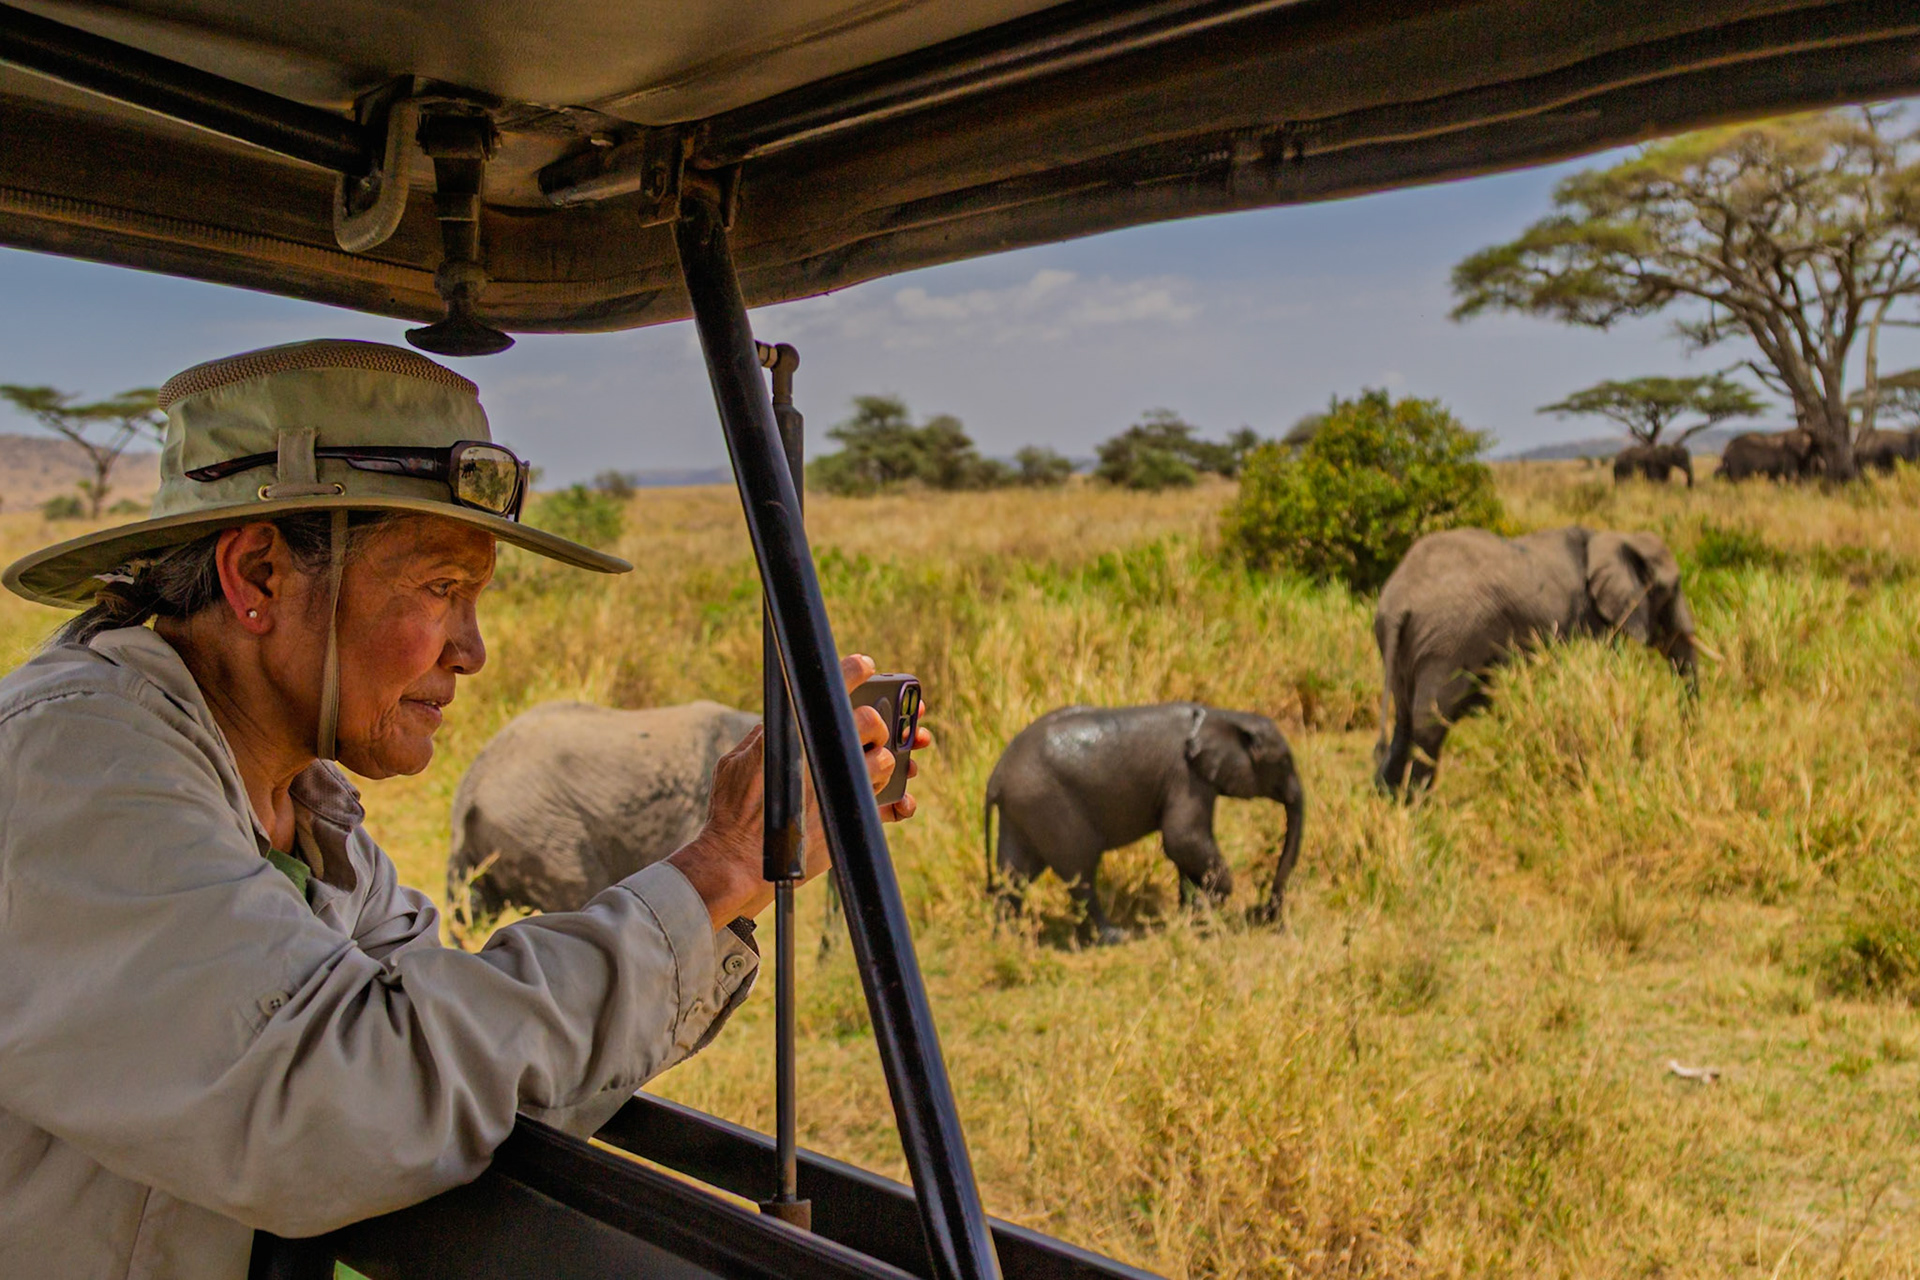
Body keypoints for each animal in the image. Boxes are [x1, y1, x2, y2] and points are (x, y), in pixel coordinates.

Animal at [984, 703, 1305, 942]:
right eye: (1284, 762)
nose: (1265, 913)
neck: (1221, 715)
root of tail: (996, 778)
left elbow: (1185, 849)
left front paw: (1192, 915)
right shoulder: (1186, 776)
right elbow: (1182, 838)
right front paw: (1213, 901)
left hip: (1022, 810)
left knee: (1013, 876)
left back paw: (1008, 942)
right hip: (1048, 803)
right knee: (1080, 871)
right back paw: (1114, 937)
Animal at [1372, 527, 1697, 795]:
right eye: (1672, 589)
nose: (1685, 743)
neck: (1615, 537)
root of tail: (1398, 602)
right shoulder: (1587, 619)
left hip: (1409, 649)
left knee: (1404, 724)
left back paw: (1390, 802)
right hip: (1447, 643)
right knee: (1430, 726)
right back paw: (1419, 806)